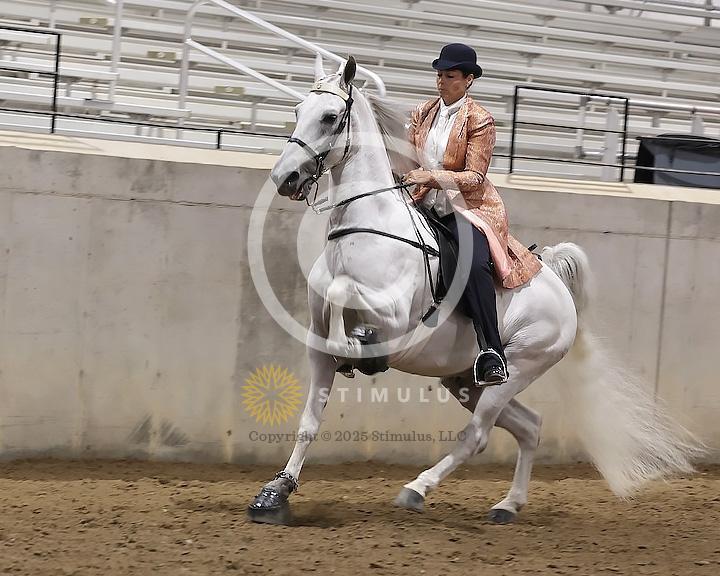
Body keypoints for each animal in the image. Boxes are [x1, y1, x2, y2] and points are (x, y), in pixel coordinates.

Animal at [247, 55, 702, 525]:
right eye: (298, 110)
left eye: (330, 116)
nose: (285, 177)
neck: (368, 227)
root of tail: (559, 289)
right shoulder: (317, 346)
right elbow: (309, 420)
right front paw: (274, 496)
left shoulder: (395, 317)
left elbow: (350, 307)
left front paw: (362, 350)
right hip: (467, 381)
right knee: (529, 426)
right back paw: (507, 505)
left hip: (517, 369)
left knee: (477, 435)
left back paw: (417, 489)